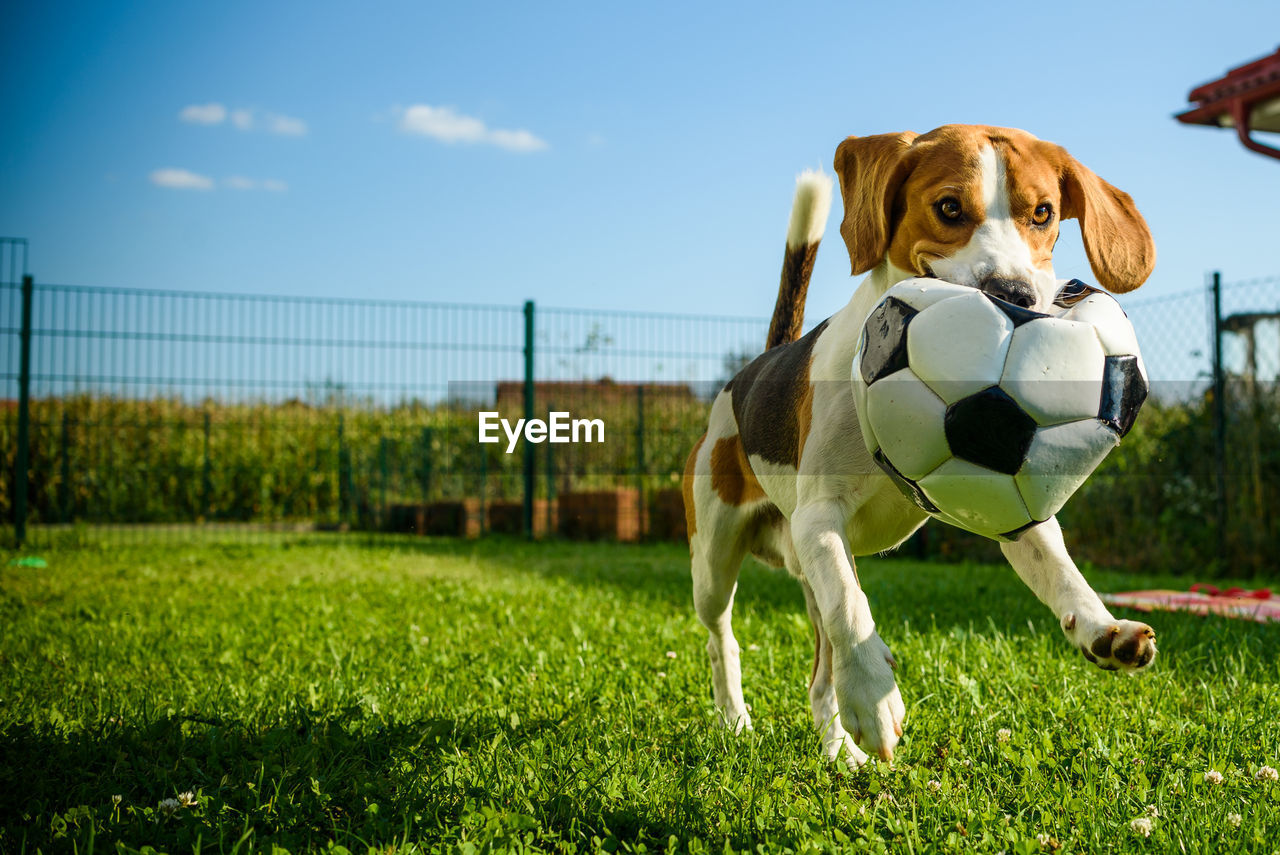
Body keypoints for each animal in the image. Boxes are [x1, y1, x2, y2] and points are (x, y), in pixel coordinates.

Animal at [691, 125, 1162, 767]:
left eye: (1042, 213)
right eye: (949, 208)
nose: (1013, 294)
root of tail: (755, 368)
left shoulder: (1012, 507)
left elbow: (1062, 573)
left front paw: (1101, 628)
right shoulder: (820, 517)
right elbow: (850, 602)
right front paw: (874, 695)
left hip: (801, 569)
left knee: (820, 676)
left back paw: (839, 751)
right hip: (714, 561)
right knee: (726, 638)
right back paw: (736, 718)